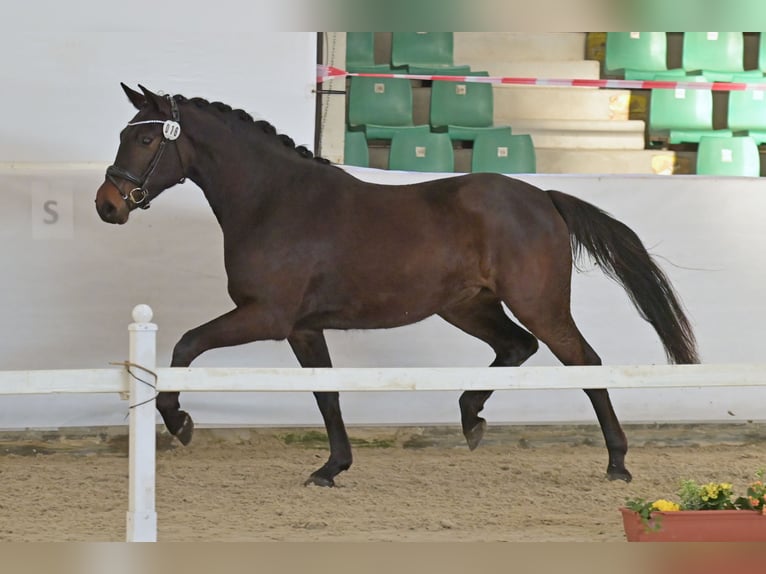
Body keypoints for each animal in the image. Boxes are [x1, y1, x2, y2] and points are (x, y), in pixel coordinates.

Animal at [95, 84, 699, 487]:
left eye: (145, 138)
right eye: (124, 135)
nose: (107, 205)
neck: (273, 200)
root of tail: (544, 197)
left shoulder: (266, 316)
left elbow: (184, 346)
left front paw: (180, 421)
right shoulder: (303, 328)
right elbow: (326, 395)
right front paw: (331, 468)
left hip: (539, 304)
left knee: (584, 363)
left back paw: (617, 463)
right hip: (467, 307)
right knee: (516, 347)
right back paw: (470, 418)